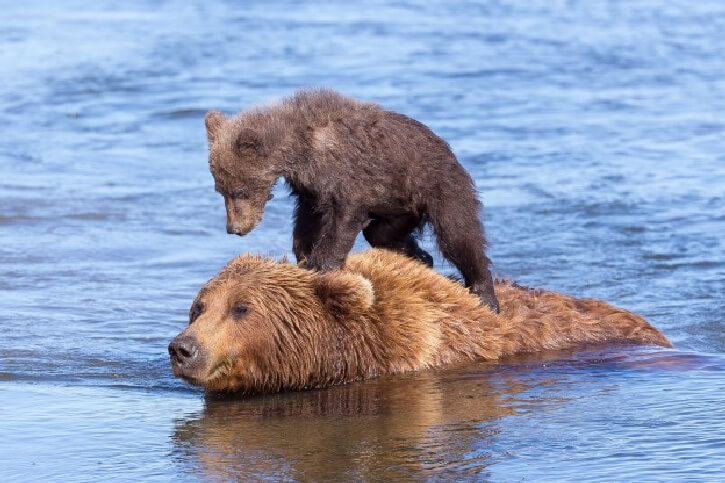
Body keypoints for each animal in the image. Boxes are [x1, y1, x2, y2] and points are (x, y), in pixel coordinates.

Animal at [204, 88, 498, 312]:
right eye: (220, 190)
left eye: (239, 191)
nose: (234, 229)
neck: (300, 148)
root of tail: (449, 151)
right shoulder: (309, 187)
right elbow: (308, 220)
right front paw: (304, 255)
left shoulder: (345, 174)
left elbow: (342, 220)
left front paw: (320, 265)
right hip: (397, 207)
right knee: (382, 234)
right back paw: (420, 258)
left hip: (438, 186)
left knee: (458, 235)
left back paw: (484, 294)